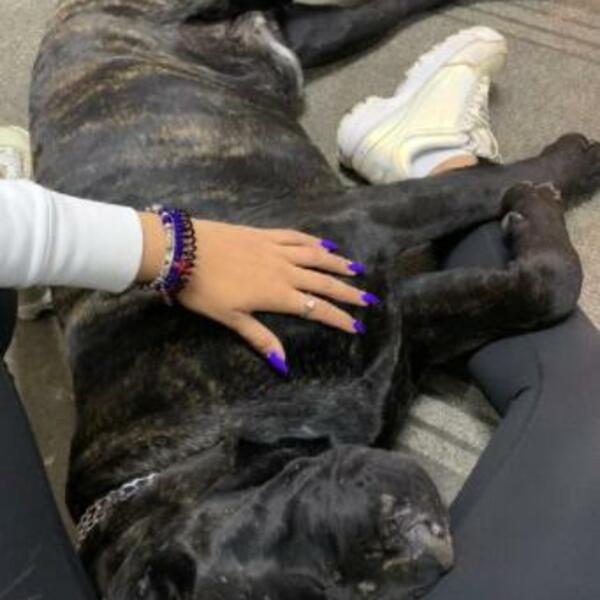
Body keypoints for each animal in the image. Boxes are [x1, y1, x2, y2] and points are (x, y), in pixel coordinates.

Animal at [29, 0, 600, 598]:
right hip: (314, 37)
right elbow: (543, 285)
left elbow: (476, 191)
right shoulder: (402, 324)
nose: (409, 539)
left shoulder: (360, 222)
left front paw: (561, 171)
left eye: (253, 517)